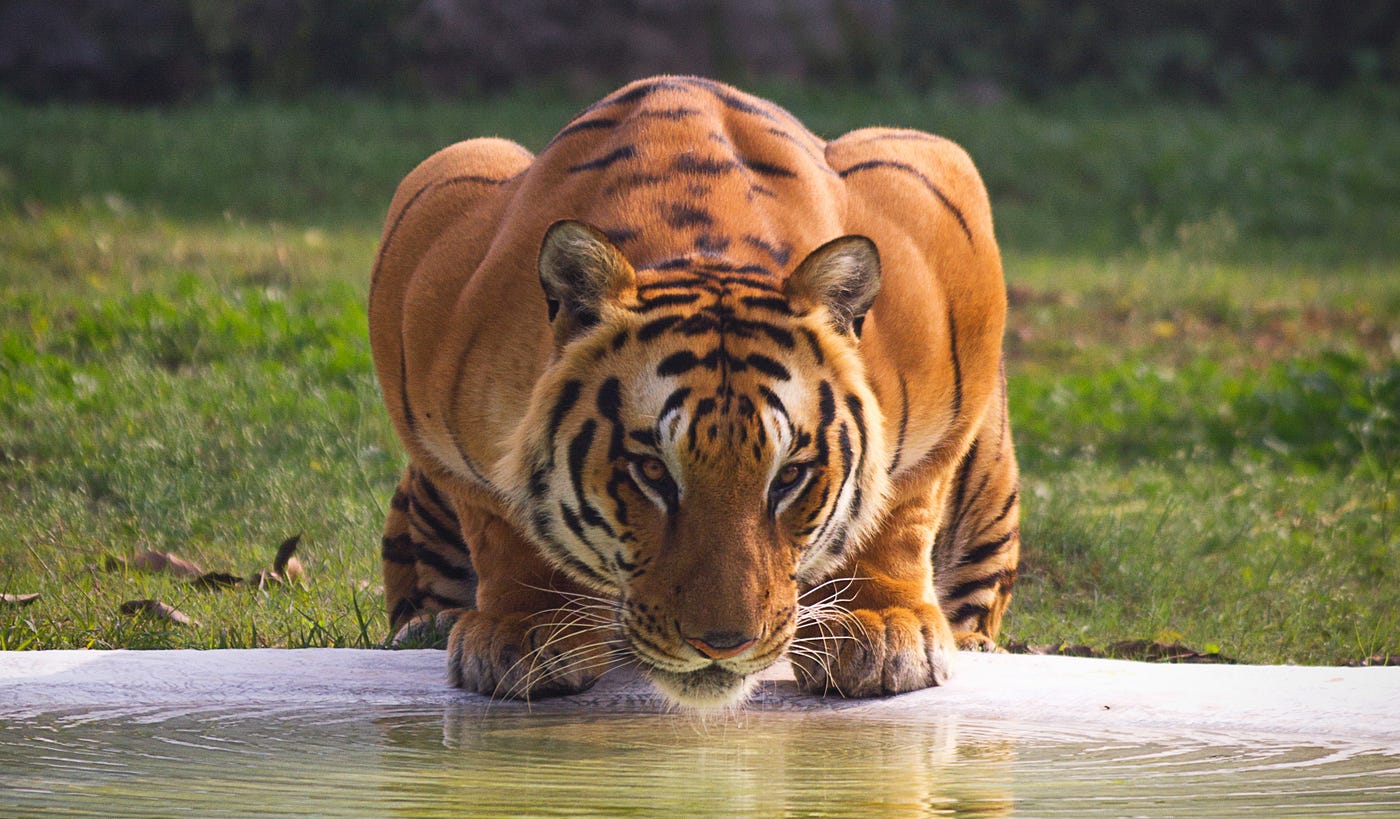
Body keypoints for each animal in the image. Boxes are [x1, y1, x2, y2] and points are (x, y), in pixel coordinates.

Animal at [369, 76, 1020, 708]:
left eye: (790, 476)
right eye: (653, 472)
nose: (723, 645)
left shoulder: (940, 208)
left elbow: (903, 504)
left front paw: (882, 628)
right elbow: (499, 521)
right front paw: (526, 629)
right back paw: (429, 626)